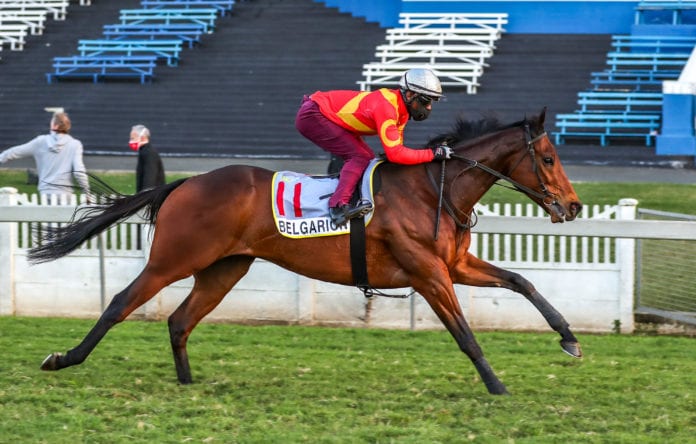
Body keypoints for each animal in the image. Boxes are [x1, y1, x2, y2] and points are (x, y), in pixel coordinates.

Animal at [31, 109, 582, 395]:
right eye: (547, 157)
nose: (574, 206)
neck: (434, 188)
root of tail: (184, 183)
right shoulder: (428, 272)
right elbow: (464, 333)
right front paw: (497, 385)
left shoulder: (454, 264)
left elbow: (522, 281)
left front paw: (569, 339)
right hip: (174, 259)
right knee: (121, 303)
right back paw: (64, 359)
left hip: (225, 268)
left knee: (180, 320)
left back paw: (188, 383)